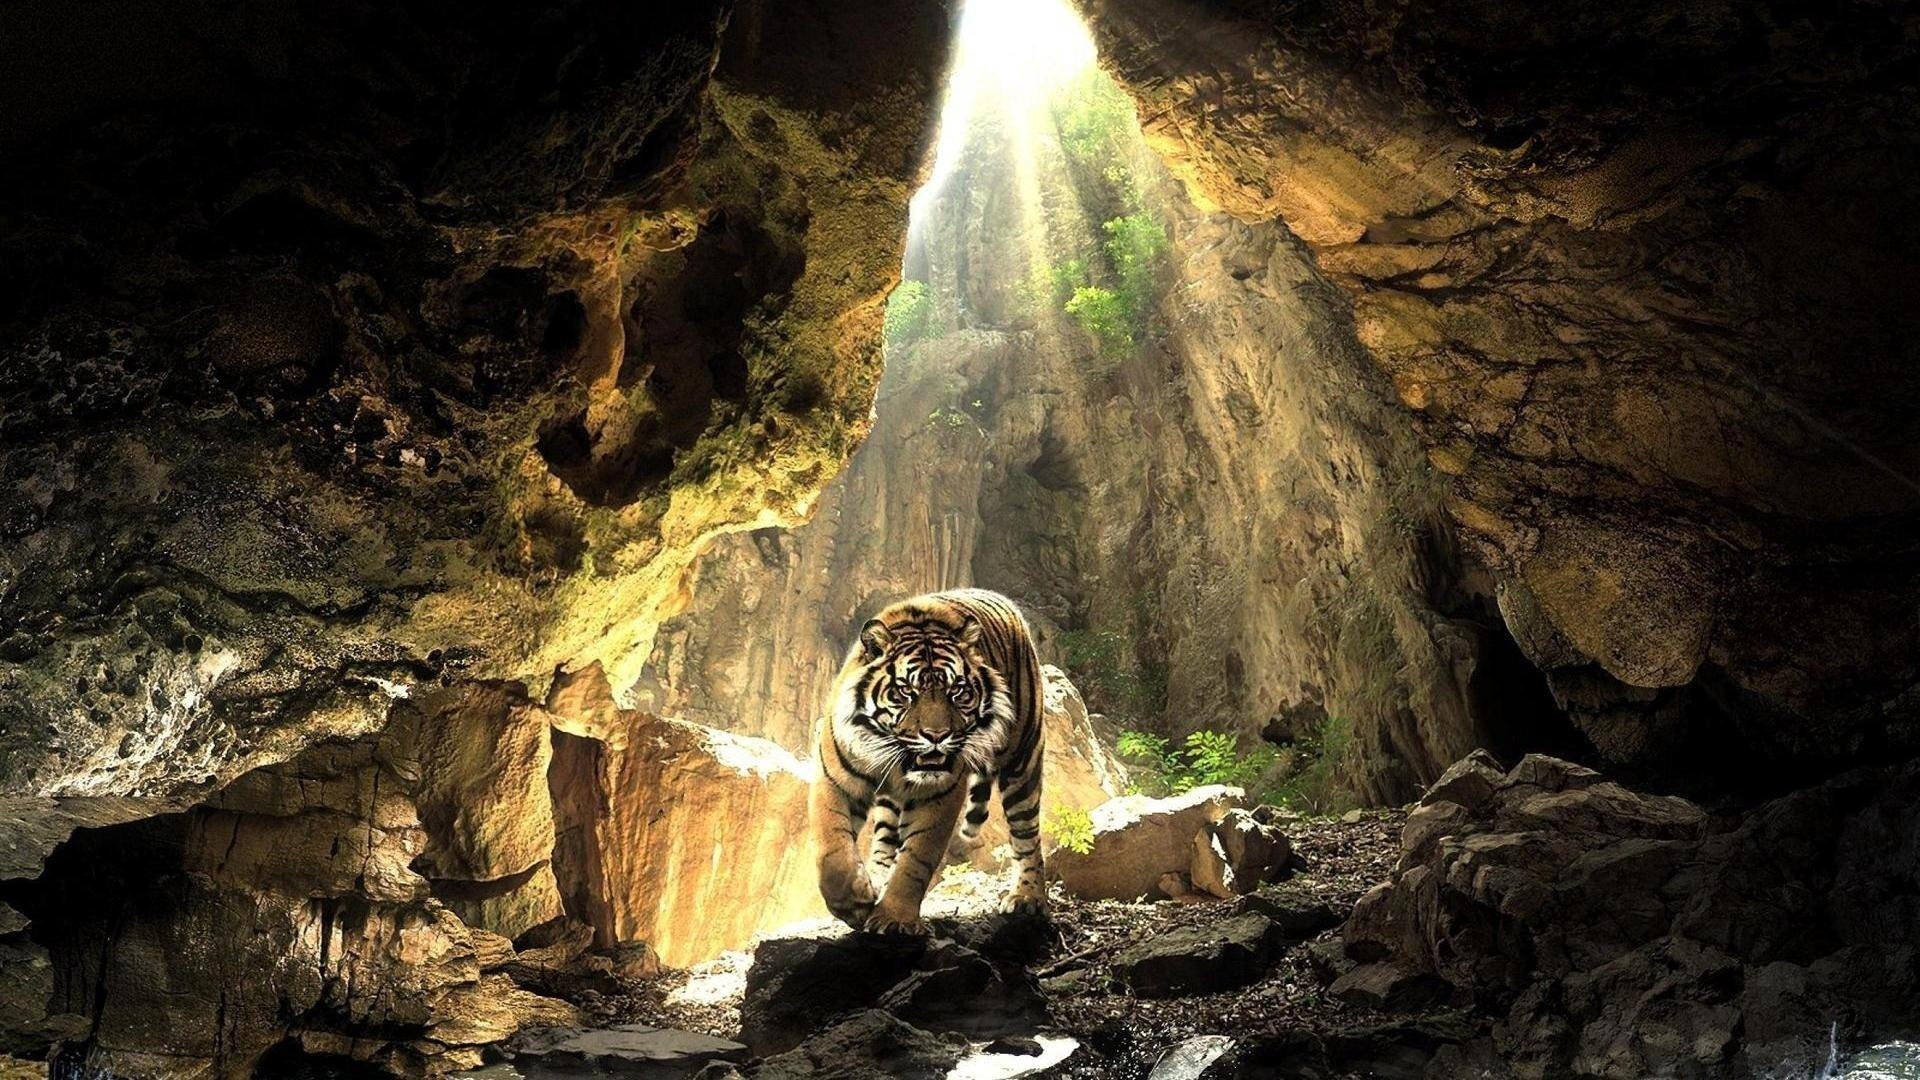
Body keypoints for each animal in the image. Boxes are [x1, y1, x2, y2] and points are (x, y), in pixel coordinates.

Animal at [810, 587, 1047, 935]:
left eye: (957, 691)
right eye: (906, 692)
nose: (937, 736)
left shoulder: (939, 794)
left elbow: (916, 859)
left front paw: (894, 918)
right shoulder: (834, 779)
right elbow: (832, 850)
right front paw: (855, 902)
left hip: (1023, 761)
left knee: (1027, 834)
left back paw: (1028, 897)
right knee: (885, 837)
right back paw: (876, 877)